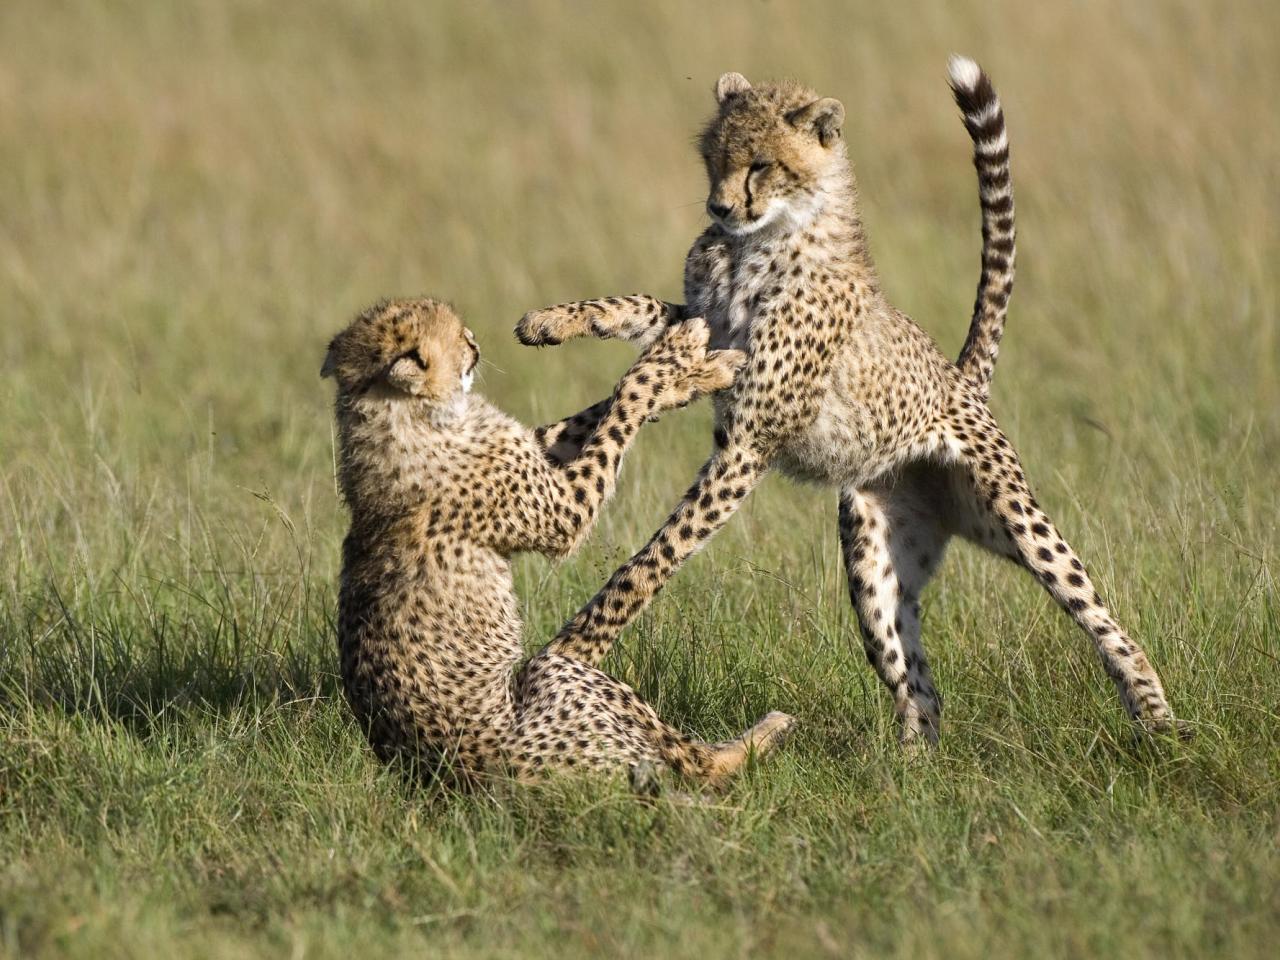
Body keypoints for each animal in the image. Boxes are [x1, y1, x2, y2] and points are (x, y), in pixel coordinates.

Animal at [322, 299, 788, 788]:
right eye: (454, 338)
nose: (474, 341)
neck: (400, 416)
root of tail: (450, 775)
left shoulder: (533, 449)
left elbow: (590, 412)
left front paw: (694, 374)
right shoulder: (564, 510)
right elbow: (628, 394)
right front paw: (676, 355)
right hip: (560, 677)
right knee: (696, 763)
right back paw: (767, 732)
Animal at [517, 56, 1187, 747]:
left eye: (761, 164)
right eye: (714, 157)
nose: (718, 206)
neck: (762, 238)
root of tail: (958, 379)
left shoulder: (751, 436)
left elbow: (654, 557)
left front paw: (571, 651)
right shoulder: (710, 330)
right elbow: (643, 320)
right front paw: (556, 324)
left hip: (1013, 518)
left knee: (1093, 609)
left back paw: (1158, 720)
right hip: (874, 564)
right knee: (918, 685)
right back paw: (909, 768)